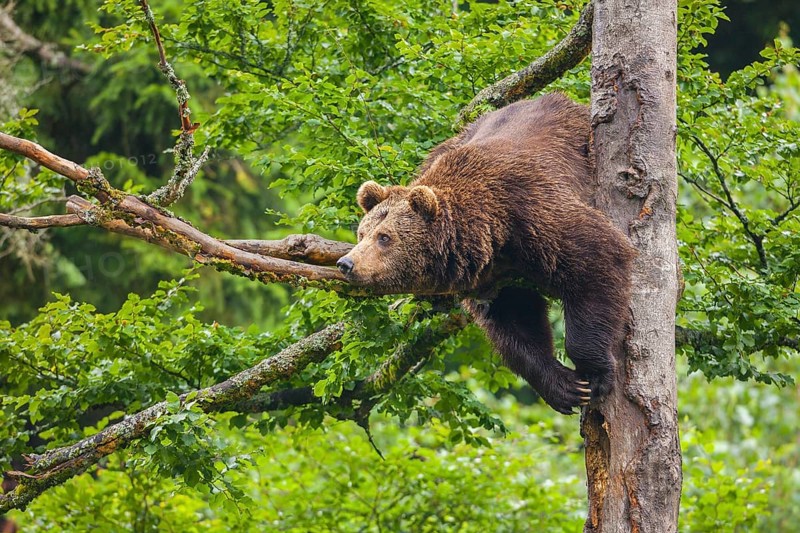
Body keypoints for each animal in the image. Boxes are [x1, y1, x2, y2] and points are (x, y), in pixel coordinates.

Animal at [336, 93, 635, 414]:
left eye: (384, 237)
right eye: (362, 233)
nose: (347, 263)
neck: (491, 229)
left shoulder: (533, 210)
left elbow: (597, 258)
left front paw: (593, 376)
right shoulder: (495, 275)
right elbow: (516, 319)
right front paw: (563, 387)